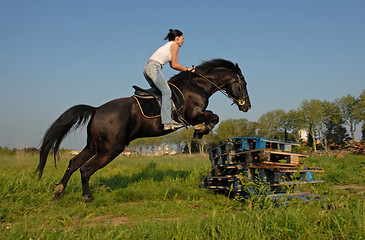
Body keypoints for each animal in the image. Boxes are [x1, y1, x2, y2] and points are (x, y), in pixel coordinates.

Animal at [36, 58, 250, 202]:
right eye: (244, 84)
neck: (197, 86)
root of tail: (96, 110)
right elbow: (214, 117)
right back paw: (87, 197)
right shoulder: (194, 114)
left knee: (73, 163)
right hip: (111, 149)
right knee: (86, 168)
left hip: (94, 146)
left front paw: (200, 131)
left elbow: (214, 117)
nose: (247, 106)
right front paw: (200, 130)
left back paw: (58, 192)